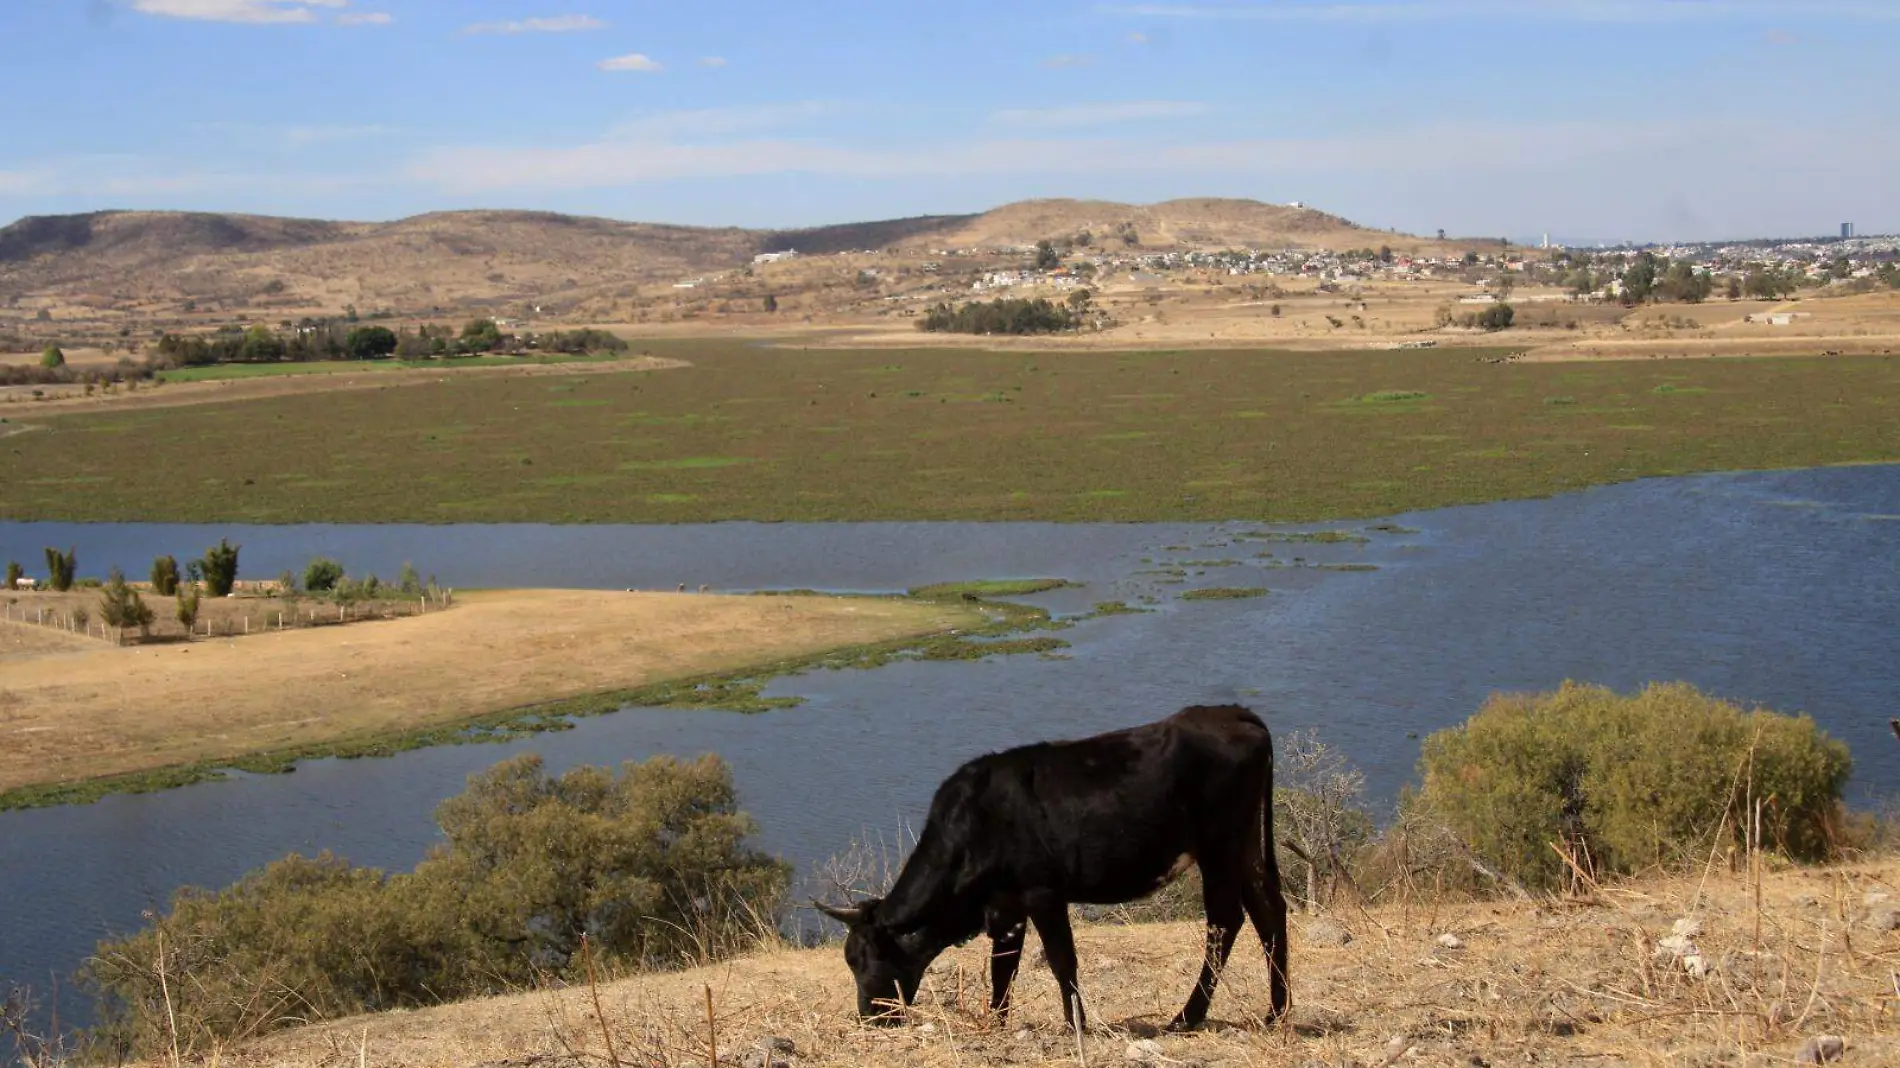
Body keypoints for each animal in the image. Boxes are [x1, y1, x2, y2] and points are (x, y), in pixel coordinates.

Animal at [817, 703, 1292, 1026]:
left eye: (863, 959)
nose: (869, 1016)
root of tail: (1234, 713)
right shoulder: (1006, 905)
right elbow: (1003, 968)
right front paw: (997, 1021)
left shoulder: (1042, 892)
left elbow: (1062, 960)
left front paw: (1075, 1024)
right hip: (1246, 846)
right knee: (1268, 910)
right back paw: (1277, 1012)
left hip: (1219, 848)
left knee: (1225, 921)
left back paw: (1187, 1017)